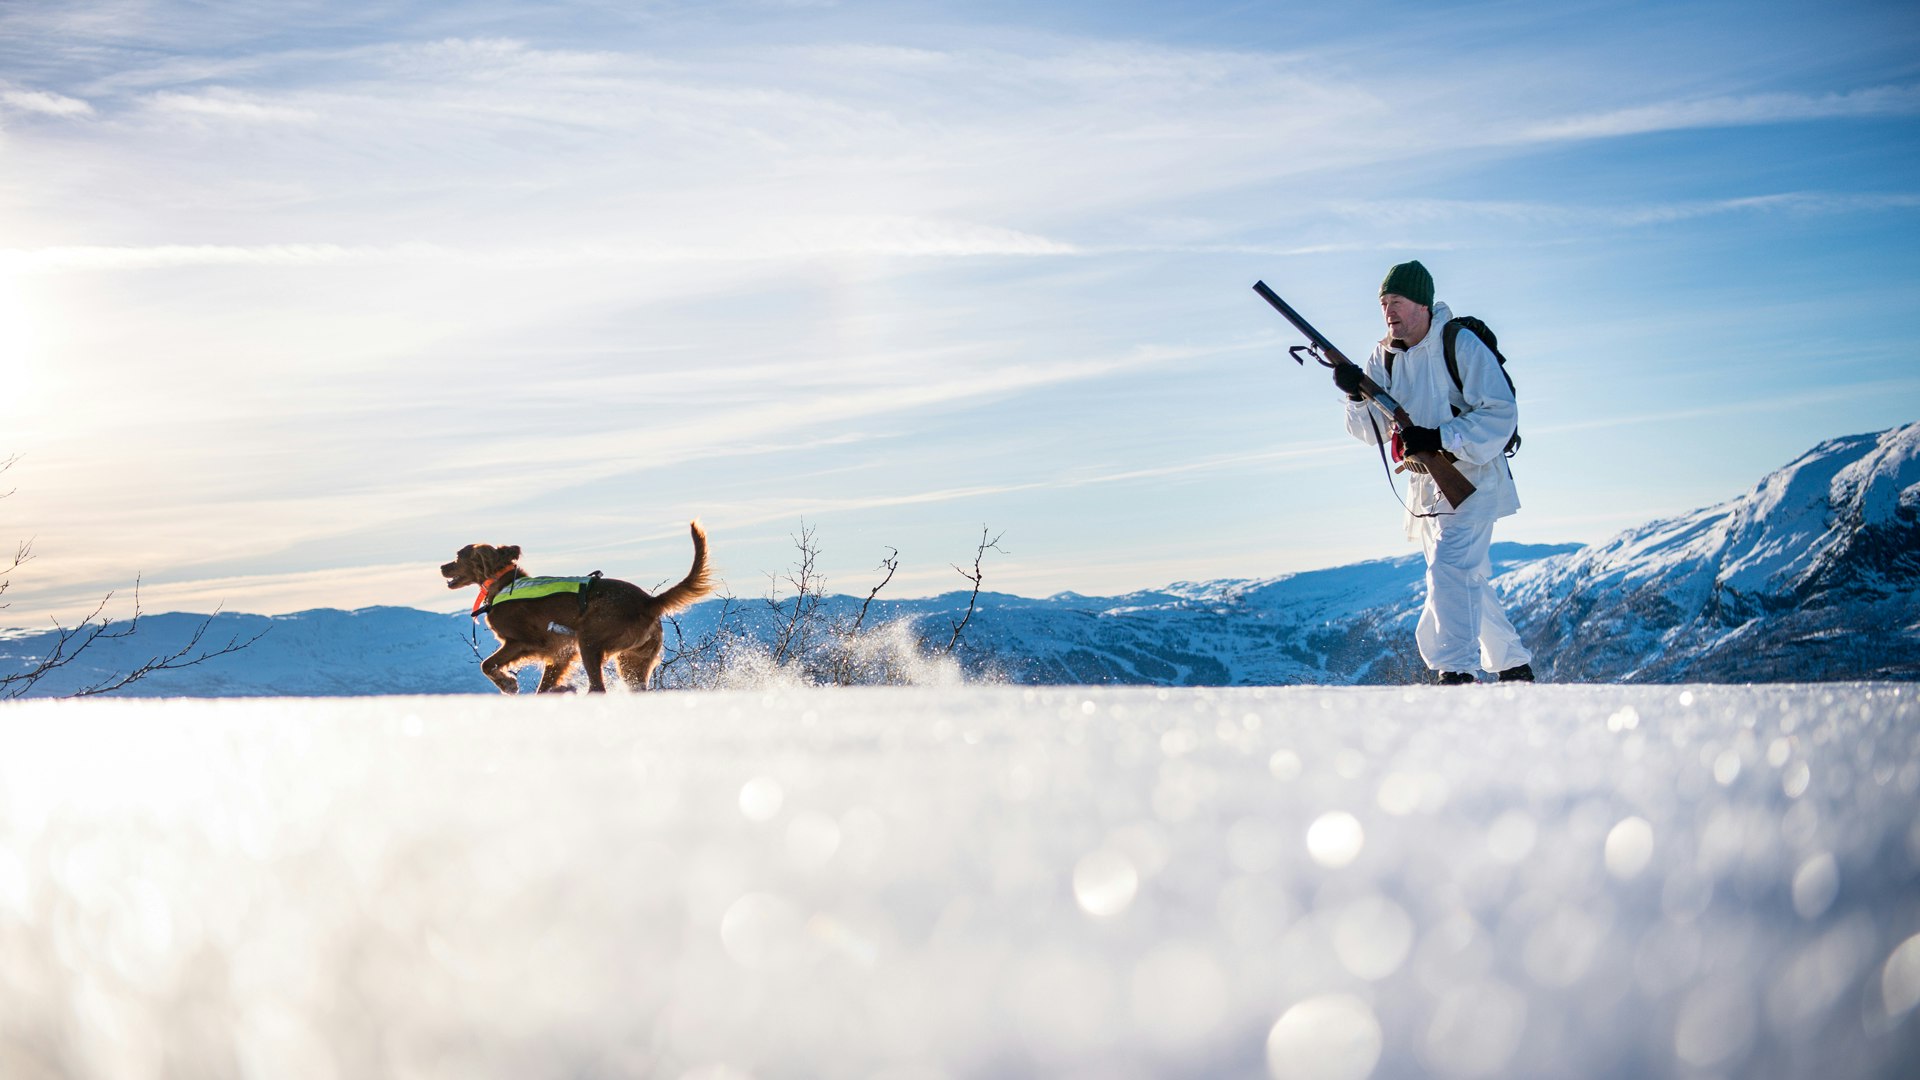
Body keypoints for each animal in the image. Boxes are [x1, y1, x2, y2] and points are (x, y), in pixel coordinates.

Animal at [441, 518, 714, 687]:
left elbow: (486, 665)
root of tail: (648, 601)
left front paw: (508, 684)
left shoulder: (525, 642)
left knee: (597, 688)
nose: (442, 567)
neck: (504, 582)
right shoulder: (560, 654)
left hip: (589, 641)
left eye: (458, 556)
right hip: (632, 660)